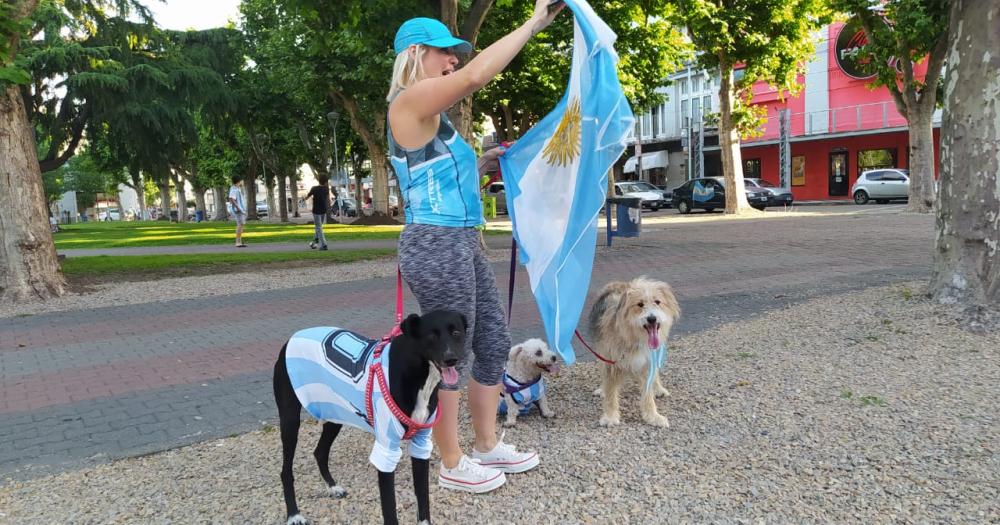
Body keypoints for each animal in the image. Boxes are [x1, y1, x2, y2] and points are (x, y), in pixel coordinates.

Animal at [274, 310, 468, 524]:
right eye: (431, 336)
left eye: (456, 332)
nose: (451, 359)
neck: (418, 374)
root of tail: (291, 339)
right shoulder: (386, 451)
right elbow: (390, 511)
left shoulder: (421, 445)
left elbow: (423, 500)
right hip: (290, 421)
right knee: (285, 471)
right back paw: (294, 514)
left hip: (335, 414)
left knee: (320, 452)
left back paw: (332, 487)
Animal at [584, 274, 680, 426]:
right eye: (640, 304)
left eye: (657, 302)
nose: (652, 318)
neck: (633, 337)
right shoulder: (609, 361)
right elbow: (610, 392)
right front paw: (610, 416)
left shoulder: (647, 363)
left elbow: (648, 393)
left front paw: (653, 416)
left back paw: (658, 388)